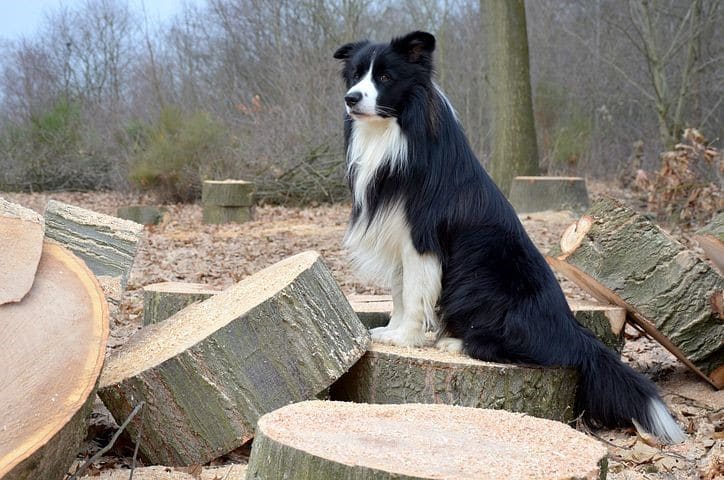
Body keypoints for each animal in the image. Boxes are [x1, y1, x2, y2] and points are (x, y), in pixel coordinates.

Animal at [334, 30, 684, 442]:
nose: (350, 98)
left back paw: (456, 341)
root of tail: (574, 333)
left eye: (386, 78)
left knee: (521, 348)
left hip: (485, 283)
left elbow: (417, 294)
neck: (394, 131)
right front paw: (391, 329)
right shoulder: (398, 239)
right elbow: (402, 293)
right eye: (356, 75)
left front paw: (405, 338)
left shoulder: (421, 239)